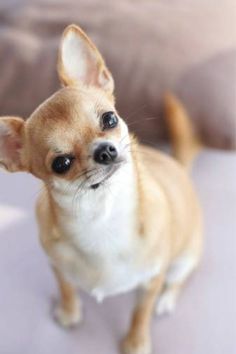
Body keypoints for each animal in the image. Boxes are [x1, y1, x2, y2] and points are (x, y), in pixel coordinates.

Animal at [0, 24, 203, 354]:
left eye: (109, 118)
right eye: (61, 163)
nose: (105, 150)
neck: (101, 215)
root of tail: (177, 164)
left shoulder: (150, 280)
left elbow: (140, 313)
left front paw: (136, 342)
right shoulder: (56, 265)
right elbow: (66, 288)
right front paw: (69, 313)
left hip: (183, 259)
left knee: (177, 281)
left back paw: (166, 300)